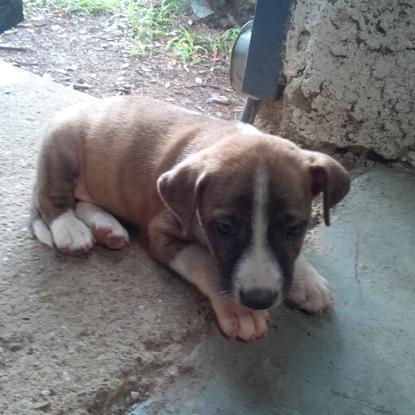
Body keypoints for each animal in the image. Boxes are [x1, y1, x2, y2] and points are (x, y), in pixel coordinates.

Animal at [30, 96, 352, 342]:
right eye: (223, 228)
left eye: (294, 228)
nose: (258, 298)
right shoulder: (162, 232)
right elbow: (205, 260)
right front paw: (239, 311)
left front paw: (308, 280)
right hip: (62, 147)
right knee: (54, 198)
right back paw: (71, 230)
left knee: (84, 201)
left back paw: (106, 227)